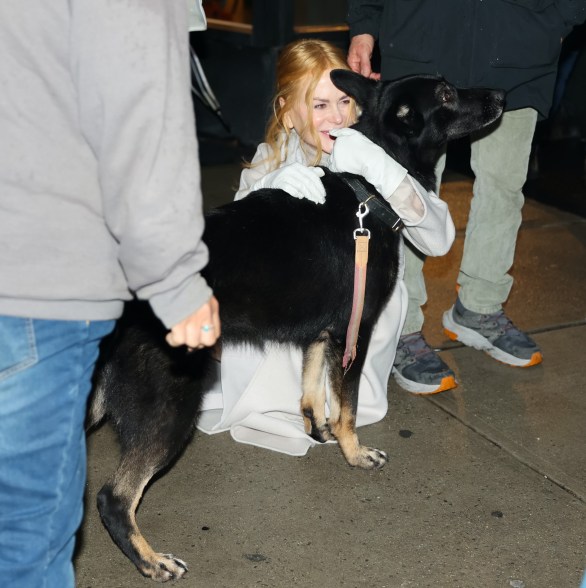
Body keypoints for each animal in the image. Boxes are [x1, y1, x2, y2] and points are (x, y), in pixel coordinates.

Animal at [86, 71, 502, 580]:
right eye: (445, 93)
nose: (502, 96)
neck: (367, 191)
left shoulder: (320, 335)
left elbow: (312, 391)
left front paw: (318, 431)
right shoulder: (354, 331)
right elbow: (347, 406)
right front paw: (354, 452)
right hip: (170, 405)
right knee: (114, 498)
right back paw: (150, 560)